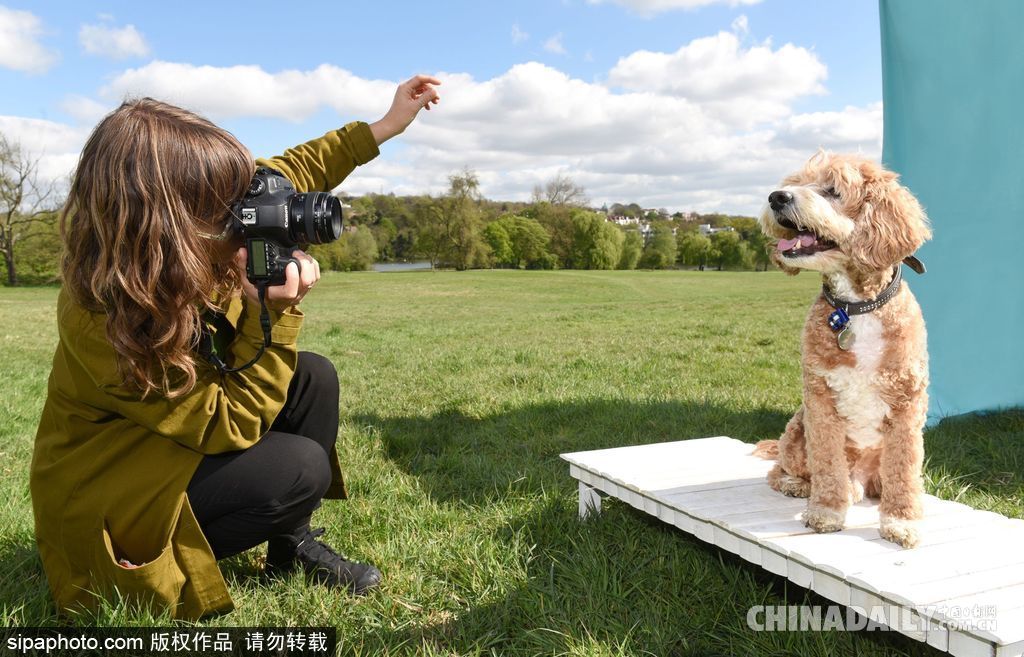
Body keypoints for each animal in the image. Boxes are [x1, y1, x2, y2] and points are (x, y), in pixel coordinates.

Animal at [757, 151, 933, 544]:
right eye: (795, 183)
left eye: (832, 190)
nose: (777, 197)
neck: (856, 308)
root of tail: (864, 481)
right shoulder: (820, 401)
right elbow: (827, 463)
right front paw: (826, 512)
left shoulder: (907, 403)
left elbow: (904, 468)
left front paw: (902, 521)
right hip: (796, 430)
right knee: (780, 469)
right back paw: (798, 485)